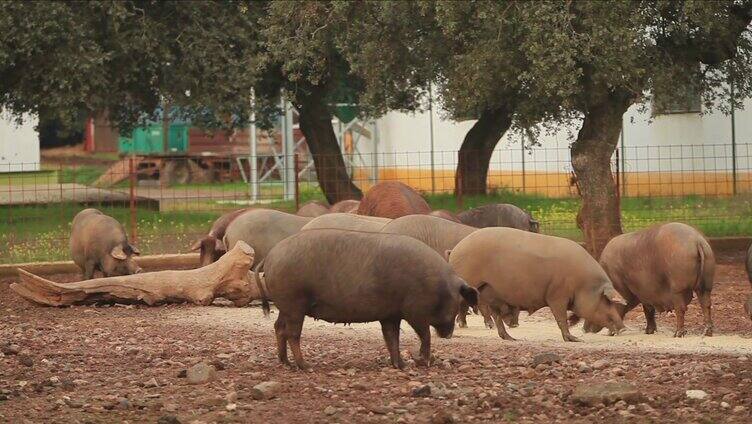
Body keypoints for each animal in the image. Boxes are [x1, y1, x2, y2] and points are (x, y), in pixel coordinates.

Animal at [262, 227, 478, 370]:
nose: (448, 334)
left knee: (278, 327)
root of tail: (271, 257)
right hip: (294, 303)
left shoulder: (390, 315)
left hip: (285, 306)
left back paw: (285, 362)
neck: (438, 286)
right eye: (458, 302)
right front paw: (420, 362)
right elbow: (424, 336)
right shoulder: (415, 312)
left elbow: (392, 338)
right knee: (292, 334)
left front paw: (400, 365)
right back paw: (305, 365)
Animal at [450, 227, 624, 342]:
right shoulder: (556, 295)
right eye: (607, 301)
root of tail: (455, 250)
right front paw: (574, 339)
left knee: (495, 315)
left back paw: (511, 339)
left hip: (489, 291)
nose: (623, 328)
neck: (582, 284)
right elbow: (560, 317)